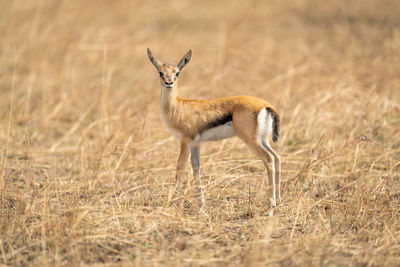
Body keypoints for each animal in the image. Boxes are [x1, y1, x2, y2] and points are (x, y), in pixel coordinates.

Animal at [147, 48, 282, 214]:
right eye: (161, 72)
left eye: (177, 72)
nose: (169, 83)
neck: (177, 106)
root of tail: (266, 105)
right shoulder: (196, 144)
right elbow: (196, 169)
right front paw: (201, 204)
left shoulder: (185, 142)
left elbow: (180, 169)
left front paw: (171, 204)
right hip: (262, 140)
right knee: (276, 157)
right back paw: (279, 201)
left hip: (251, 141)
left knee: (268, 160)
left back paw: (270, 208)